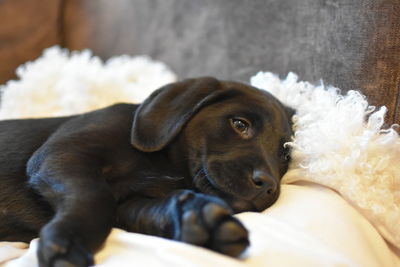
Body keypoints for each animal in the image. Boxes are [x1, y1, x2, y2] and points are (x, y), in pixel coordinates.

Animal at [0, 76, 294, 266]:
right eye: (240, 124)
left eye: (285, 153)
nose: (268, 186)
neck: (162, 163)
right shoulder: (63, 153)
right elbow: (93, 196)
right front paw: (69, 239)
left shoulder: (129, 204)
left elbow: (151, 211)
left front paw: (200, 220)